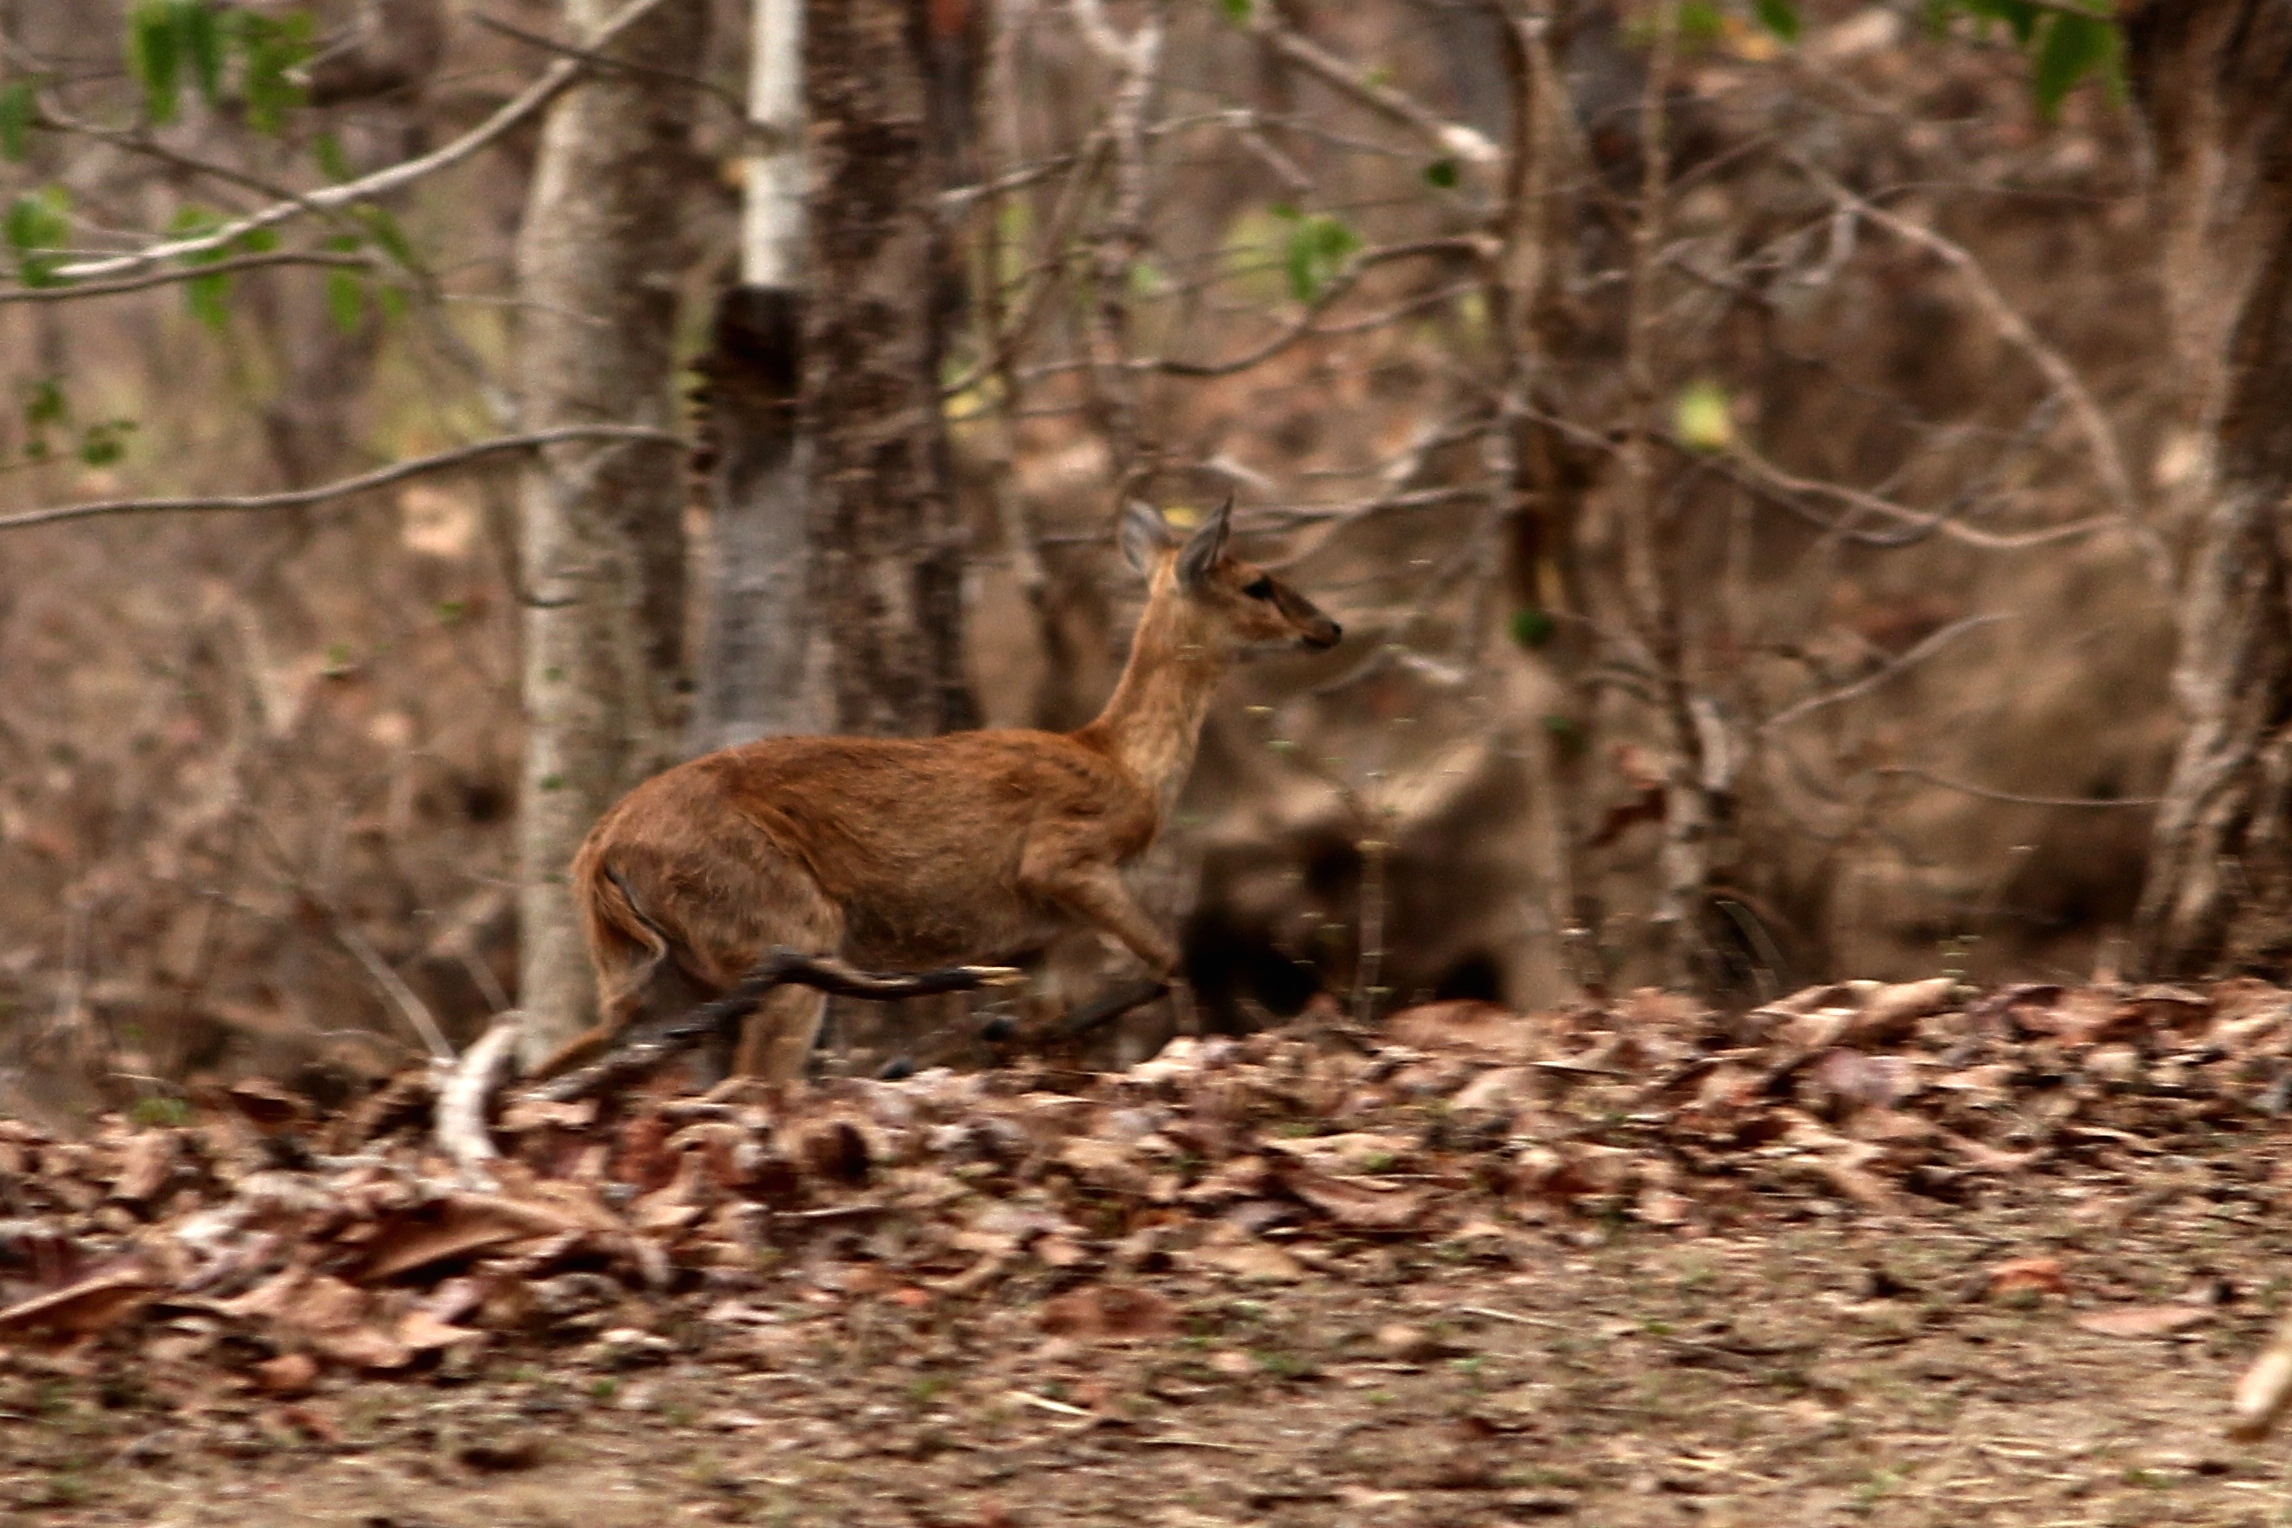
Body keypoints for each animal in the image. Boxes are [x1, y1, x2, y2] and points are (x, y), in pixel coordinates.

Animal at [534, 501, 1338, 1085]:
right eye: (1258, 583)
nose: (1328, 626)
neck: (1122, 763)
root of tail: (598, 855)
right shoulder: (1064, 858)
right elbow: (1169, 959)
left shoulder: (1035, 942)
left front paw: (1014, 1043)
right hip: (777, 926)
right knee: (755, 1084)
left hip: (660, 975)